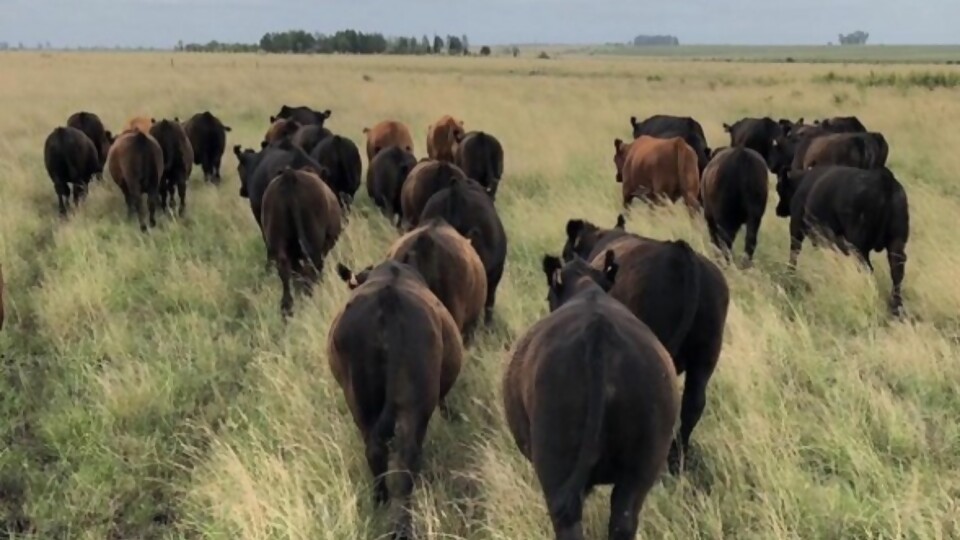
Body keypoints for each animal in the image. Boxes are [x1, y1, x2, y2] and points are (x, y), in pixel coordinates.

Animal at [330, 258, 464, 540]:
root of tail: (387, 300)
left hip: (360, 400)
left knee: (375, 451)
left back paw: (380, 501)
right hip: (415, 404)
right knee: (406, 460)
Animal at [772, 166, 908, 316]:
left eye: (779, 188)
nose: (778, 210)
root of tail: (884, 180)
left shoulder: (797, 227)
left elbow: (794, 252)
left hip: (859, 247)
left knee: (867, 269)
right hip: (896, 245)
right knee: (897, 273)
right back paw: (896, 307)